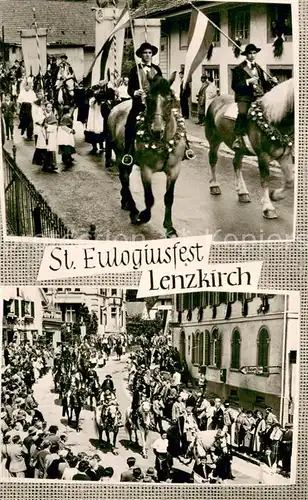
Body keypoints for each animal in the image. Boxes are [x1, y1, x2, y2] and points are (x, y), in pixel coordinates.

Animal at [107, 74, 186, 238]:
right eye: (148, 98)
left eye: (169, 99)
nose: (157, 130)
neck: (163, 143)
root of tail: (116, 107)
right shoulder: (146, 170)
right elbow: (149, 198)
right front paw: (143, 216)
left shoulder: (174, 170)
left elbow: (168, 198)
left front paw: (169, 227)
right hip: (120, 155)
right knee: (124, 179)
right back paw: (133, 209)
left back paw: (125, 202)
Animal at [205, 78, 294, 219]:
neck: (271, 118)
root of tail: (216, 99)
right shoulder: (263, 156)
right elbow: (264, 179)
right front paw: (268, 207)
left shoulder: (285, 156)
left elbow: (290, 181)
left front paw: (274, 195)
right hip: (214, 140)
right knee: (213, 159)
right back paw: (214, 185)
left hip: (240, 148)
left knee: (236, 163)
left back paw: (242, 192)